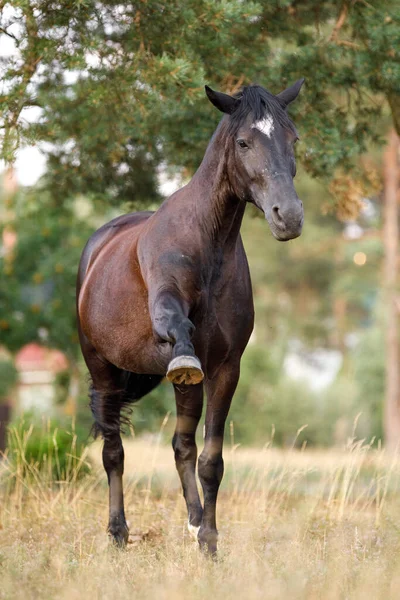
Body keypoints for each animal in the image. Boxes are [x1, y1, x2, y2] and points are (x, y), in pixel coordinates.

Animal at [76, 77, 304, 556]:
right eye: (243, 142)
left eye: (293, 139)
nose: (288, 217)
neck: (207, 245)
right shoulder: (174, 328)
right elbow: (177, 328)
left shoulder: (224, 369)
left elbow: (210, 461)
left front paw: (210, 542)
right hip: (102, 368)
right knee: (113, 451)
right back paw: (118, 532)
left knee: (180, 445)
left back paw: (195, 521)